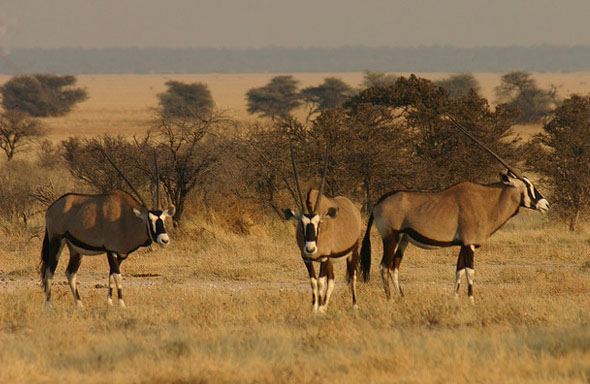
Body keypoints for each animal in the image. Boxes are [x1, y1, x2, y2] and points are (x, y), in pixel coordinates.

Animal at [38, 148, 173, 308]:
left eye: (163, 219)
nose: (164, 240)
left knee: (70, 273)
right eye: (149, 219)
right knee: (49, 271)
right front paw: (121, 304)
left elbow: (111, 276)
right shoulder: (111, 250)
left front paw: (110, 303)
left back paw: (80, 306)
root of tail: (52, 207)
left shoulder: (121, 254)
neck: (126, 217)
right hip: (57, 241)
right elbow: (117, 276)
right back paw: (48, 305)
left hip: (75, 249)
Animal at [284, 141, 364, 312]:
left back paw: (354, 305)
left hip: (352, 252)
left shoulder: (324, 257)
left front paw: (319, 309)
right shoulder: (307, 259)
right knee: (332, 280)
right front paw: (315, 307)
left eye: (319, 223)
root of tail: (353, 208)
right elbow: (314, 281)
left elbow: (321, 282)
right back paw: (326, 305)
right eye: (301, 224)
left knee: (352, 276)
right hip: (331, 260)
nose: (310, 248)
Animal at [360, 117, 552, 304]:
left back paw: (402, 298)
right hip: (390, 237)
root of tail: (378, 203)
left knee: (394, 267)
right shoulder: (470, 244)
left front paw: (455, 299)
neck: (486, 200)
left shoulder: (463, 244)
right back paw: (389, 299)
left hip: (403, 240)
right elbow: (470, 272)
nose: (546, 205)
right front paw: (472, 301)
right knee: (384, 266)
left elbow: (458, 270)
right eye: (528, 186)